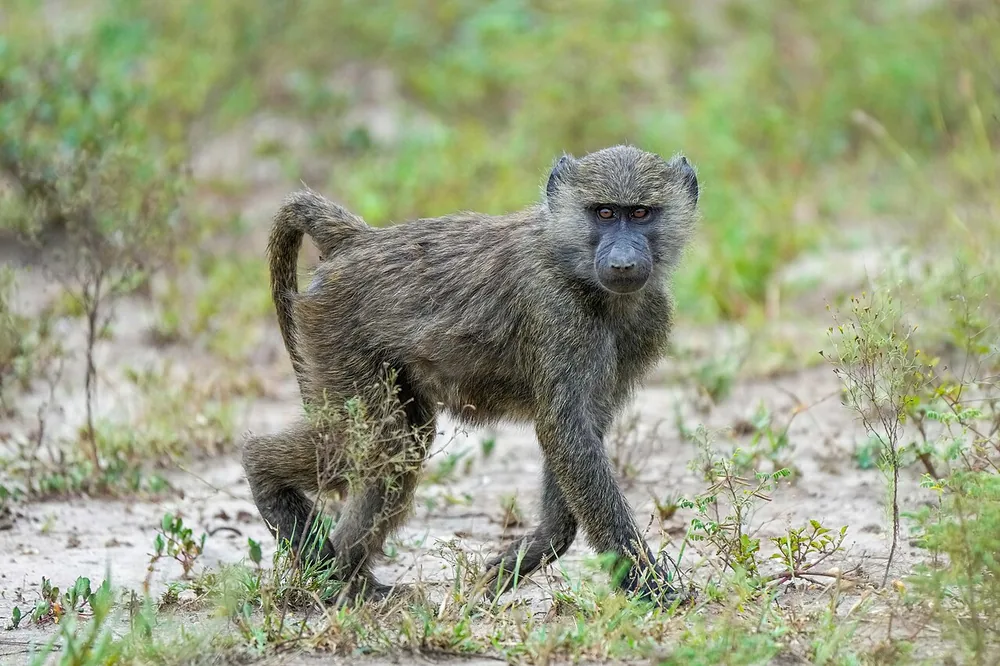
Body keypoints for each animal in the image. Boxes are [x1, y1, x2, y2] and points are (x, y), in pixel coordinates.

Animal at [241, 144, 701, 605]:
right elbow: (566, 434)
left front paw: (525, 556)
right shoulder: (555, 311)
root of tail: (359, 240)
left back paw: (350, 582)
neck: (577, 268)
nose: (623, 263)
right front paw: (653, 589)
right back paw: (272, 486)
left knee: (400, 449)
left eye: (640, 213)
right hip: (336, 334)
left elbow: (579, 434)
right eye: (604, 213)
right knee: (378, 443)